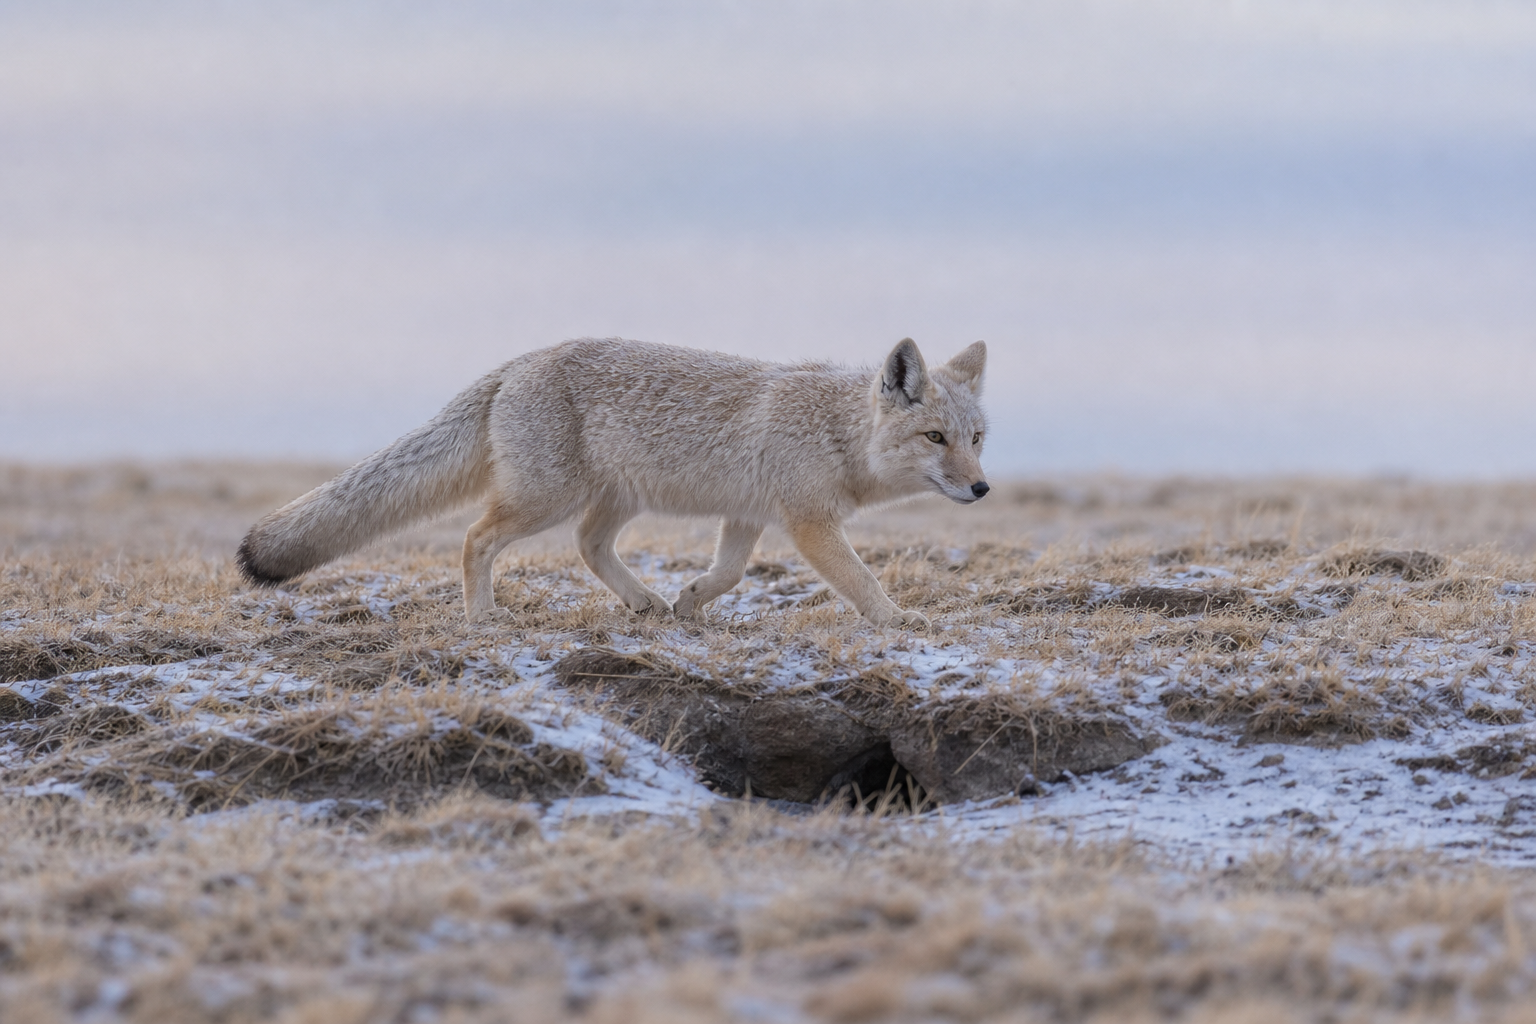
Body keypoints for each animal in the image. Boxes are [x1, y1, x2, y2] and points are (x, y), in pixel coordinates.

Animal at [236, 337, 990, 628]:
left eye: (977, 439)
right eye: (936, 439)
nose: (982, 490)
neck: (838, 429)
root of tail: (519, 361)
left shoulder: (749, 515)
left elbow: (730, 573)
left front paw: (691, 601)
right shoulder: (808, 523)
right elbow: (861, 581)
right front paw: (901, 620)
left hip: (611, 502)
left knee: (588, 547)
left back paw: (645, 603)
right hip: (545, 500)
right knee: (476, 537)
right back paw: (482, 616)